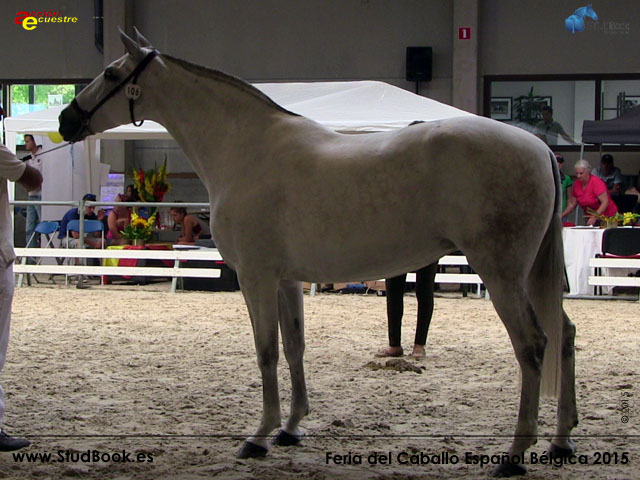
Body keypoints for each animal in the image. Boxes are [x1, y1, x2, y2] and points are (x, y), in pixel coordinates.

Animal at [59, 29, 577, 477]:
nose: (66, 120)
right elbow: (295, 346)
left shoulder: (256, 277)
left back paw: (515, 455)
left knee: (533, 345)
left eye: (110, 73)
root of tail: (538, 149)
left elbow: (266, 350)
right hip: (524, 275)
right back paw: (561, 441)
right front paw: (291, 428)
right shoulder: (288, 279)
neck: (245, 149)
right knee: (565, 335)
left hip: (501, 273)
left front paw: (259, 436)